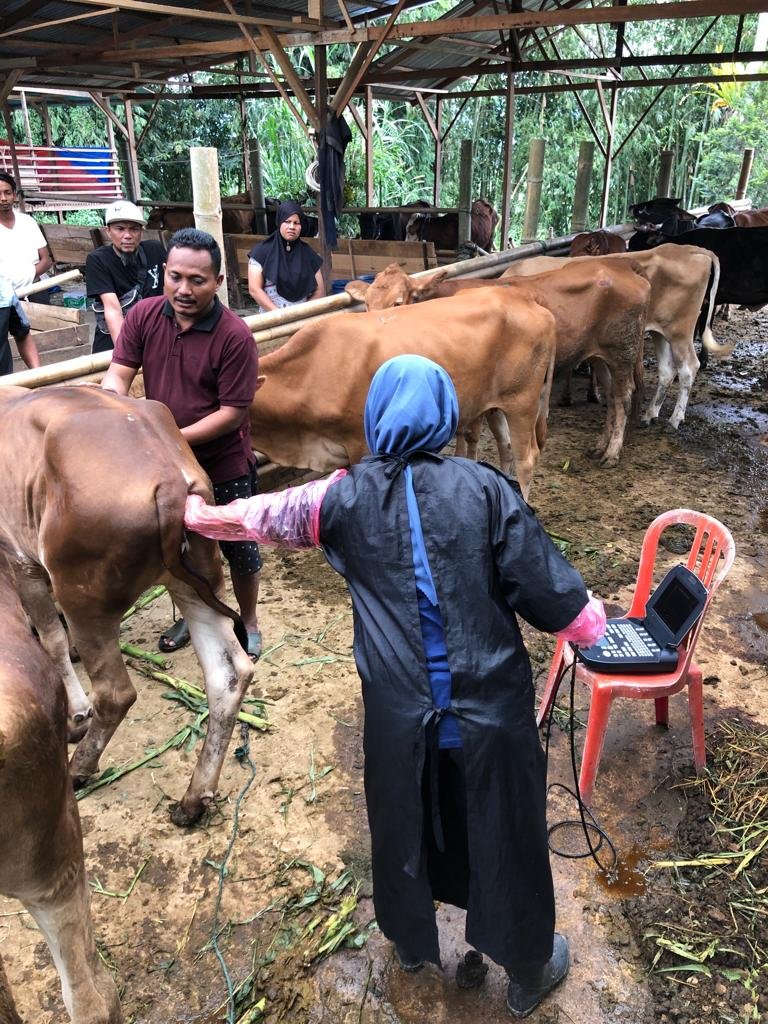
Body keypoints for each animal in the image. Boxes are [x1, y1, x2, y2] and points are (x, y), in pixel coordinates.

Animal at [0, 387, 256, 827]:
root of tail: (169, 475)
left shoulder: (21, 561)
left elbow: (51, 640)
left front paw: (76, 714)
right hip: (194, 583)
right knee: (229, 675)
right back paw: (192, 800)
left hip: (85, 599)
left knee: (116, 693)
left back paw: (79, 768)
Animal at [249, 284, 557, 499]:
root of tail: (525, 298)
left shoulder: (361, 443)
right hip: (494, 404)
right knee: (505, 447)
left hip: (522, 402)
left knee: (526, 459)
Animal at [346, 262, 651, 466]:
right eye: (367, 304)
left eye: (398, 302)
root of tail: (622, 267)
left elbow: (470, 433)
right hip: (599, 357)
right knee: (611, 397)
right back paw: (600, 446)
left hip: (622, 352)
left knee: (624, 397)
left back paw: (612, 452)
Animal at [505, 243, 729, 428]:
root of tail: (690, 249)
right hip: (662, 332)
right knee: (667, 370)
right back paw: (650, 414)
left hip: (680, 332)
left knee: (689, 367)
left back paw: (675, 419)